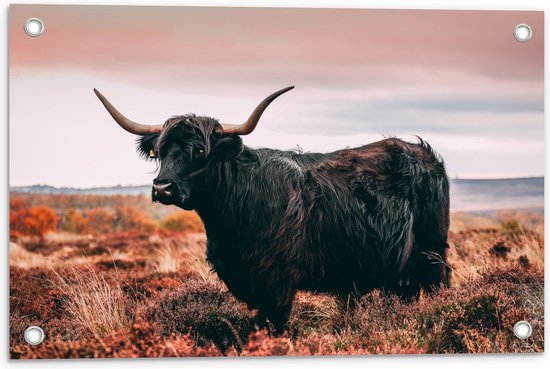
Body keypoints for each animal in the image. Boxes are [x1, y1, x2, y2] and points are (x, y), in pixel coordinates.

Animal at [96, 85, 452, 330]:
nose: (162, 187)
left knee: (437, 285)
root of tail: (423, 153)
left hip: (432, 250)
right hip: (401, 267)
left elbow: (273, 327)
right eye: (159, 150)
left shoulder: (278, 281)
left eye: (199, 151)